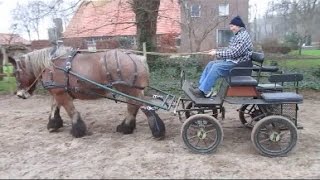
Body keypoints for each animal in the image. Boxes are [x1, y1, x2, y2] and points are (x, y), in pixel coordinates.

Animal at [7, 46, 165, 138]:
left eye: (16, 73)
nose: (19, 94)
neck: (51, 66)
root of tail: (138, 57)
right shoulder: (57, 92)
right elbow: (54, 108)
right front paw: (53, 124)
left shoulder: (61, 94)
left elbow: (71, 111)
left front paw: (77, 130)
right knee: (134, 107)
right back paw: (126, 127)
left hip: (130, 90)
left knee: (142, 107)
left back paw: (156, 131)